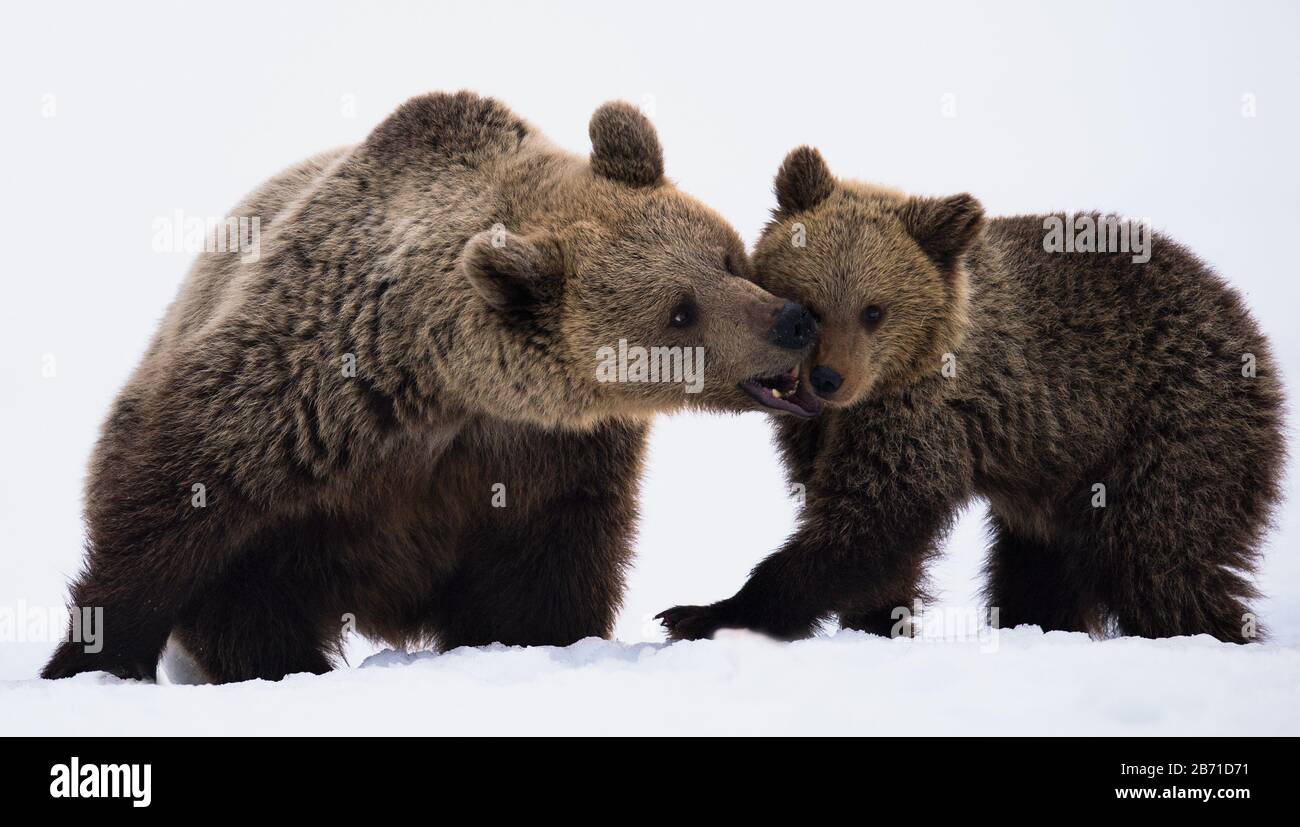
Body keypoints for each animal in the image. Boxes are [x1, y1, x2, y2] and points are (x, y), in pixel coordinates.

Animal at [42, 92, 819, 683]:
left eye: (727, 256)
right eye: (680, 310)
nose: (792, 321)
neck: (444, 392)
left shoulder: (549, 454)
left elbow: (550, 569)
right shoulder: (296, 399)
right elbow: (171, 509)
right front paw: (88, 660)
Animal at [659, 146, 1285, 644]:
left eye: (873, 310)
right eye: (810, 305)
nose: (829, 379)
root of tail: (1247, 324)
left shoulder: (923, 414)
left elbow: (868, 519)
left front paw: (703, 612)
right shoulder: (819, 430)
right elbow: (862, 527)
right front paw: (880, 619)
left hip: (1168, 428)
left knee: (1159, 559)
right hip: (1058, 483)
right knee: (1040, 571)